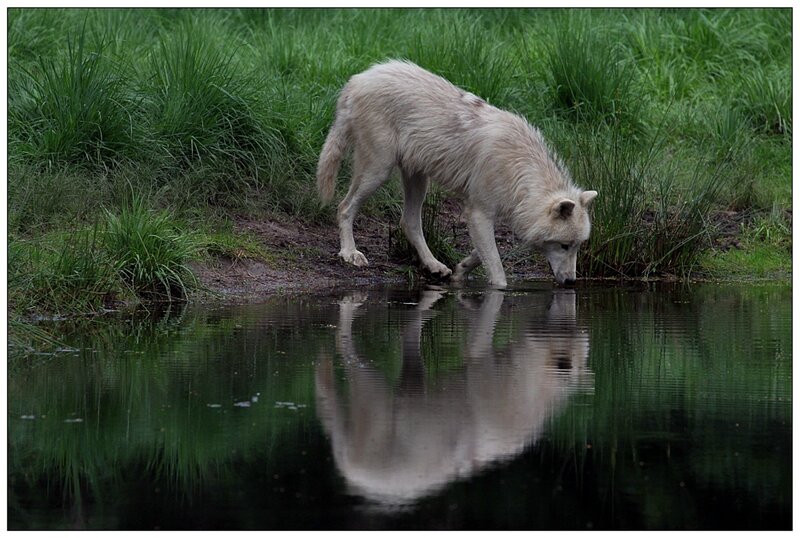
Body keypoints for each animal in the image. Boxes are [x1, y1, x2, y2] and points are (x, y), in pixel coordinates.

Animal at [316, 60, 597, 287]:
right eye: (563, 245)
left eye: (577, 246)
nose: (571, 282)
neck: (518, 166)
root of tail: (357, 79)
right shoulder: (478, 213)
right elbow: (498, 275)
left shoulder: (508, 213)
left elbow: (483, 253)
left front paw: (461, 269)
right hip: (378, 170)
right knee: (344, 207)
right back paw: (350, 253)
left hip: (418, 178)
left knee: (409, 222)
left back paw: (434, 265)